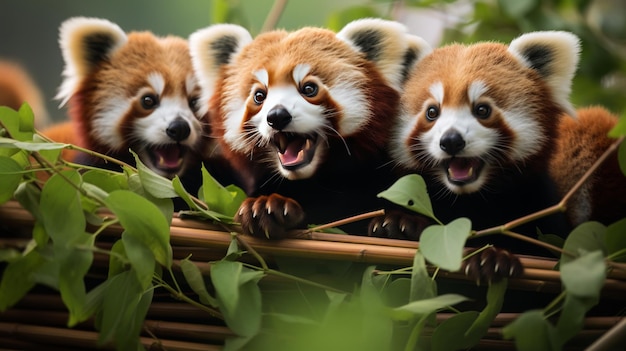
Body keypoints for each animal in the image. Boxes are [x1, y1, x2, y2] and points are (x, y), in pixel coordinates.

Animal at [189, 19, 428, 239]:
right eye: (259, 95)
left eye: (309, 88)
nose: (277, 116)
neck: (314, 184)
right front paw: (266, 208)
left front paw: (399, 222)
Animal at [368, 31, 584, 282]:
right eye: (432, 112)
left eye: (482, 110)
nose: (451, 140)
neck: (467, 199)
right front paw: (396, 225)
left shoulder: (539, 205)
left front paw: (492, 259)